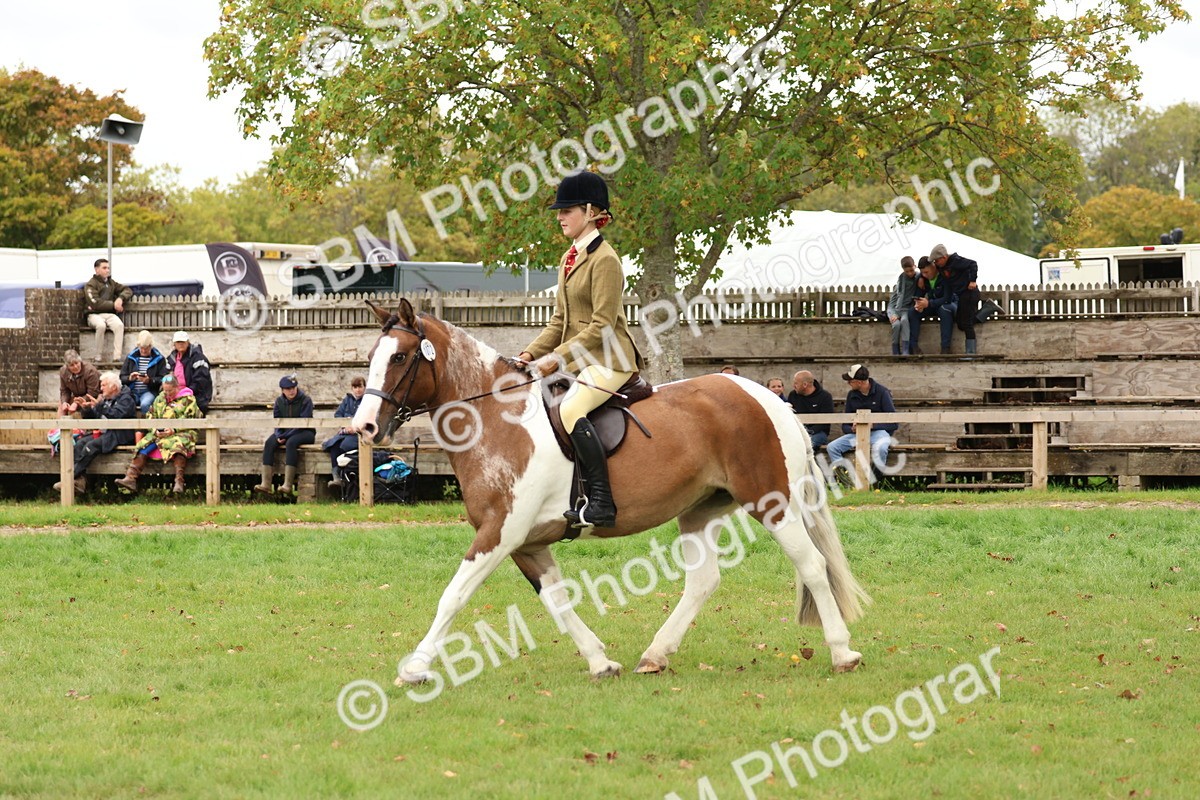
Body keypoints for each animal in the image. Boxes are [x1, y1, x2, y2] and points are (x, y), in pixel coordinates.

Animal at [351, 298, 870, 683]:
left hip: (772, 502)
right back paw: (655, 655)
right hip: (699, 510)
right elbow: (558, 602)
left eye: (400, 357)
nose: (365, 426)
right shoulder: (527, 543)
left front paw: (414, 668)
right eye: (372, 358)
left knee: (812, 565)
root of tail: (768, 399)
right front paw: (601, 662)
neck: (498, 421)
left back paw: (842, 652)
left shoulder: (500, 532)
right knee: (703, 581)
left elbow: (454, 595)